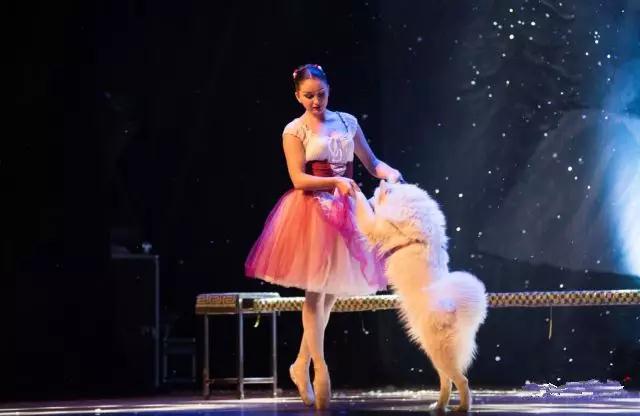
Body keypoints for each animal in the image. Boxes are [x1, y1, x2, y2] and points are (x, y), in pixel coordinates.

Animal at [353, 181, 488, 412]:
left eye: (377, 192)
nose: (381, 183)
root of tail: (453, 308)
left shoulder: (378, 228)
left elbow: (365, 215)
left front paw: (353, 191)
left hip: (440, 353)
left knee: (461, 380)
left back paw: (462, 407)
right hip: (434, 350)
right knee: (447, 382)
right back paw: (439, 405)